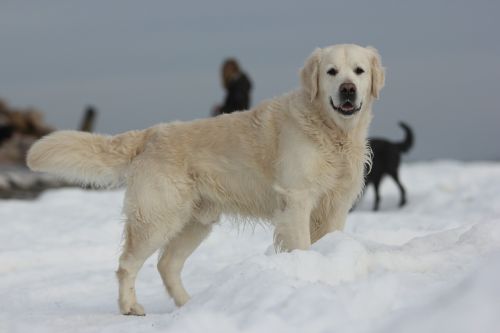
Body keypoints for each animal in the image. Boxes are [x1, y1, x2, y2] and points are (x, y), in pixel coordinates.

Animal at [27, 44, 384, 314]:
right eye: (331, 72)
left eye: (359, 71)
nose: (348, 90)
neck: (331, 131)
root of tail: (150, 133)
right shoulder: (296, 200)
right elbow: (302, 246)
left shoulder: (335, 204)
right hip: (156, 218)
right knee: (127, 263)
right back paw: (130, 307)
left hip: (195, 222)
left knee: (167, 264)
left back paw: (189, 304)